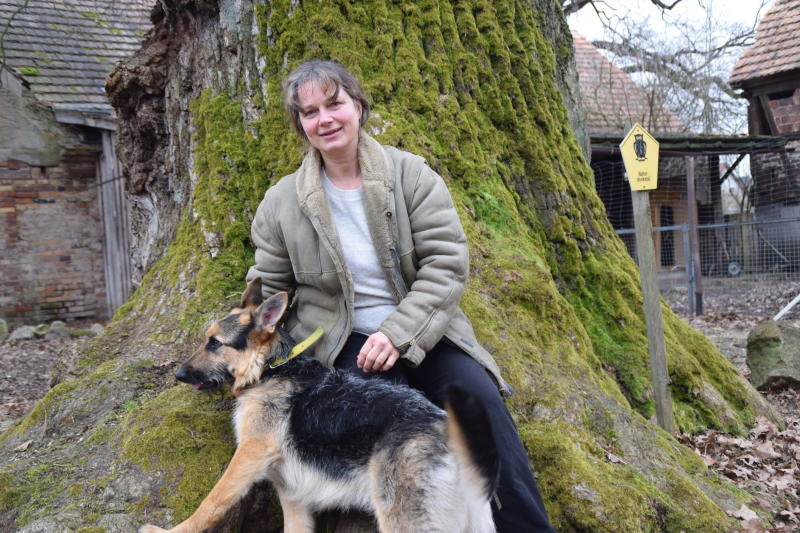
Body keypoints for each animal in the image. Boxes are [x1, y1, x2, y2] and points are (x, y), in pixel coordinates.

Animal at [141, 278, 496, 532]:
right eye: (206, 339)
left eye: (215, 343)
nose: (178, 374)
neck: (270, 368)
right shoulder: (291, 495)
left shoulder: (249, 454)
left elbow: (212, 503)